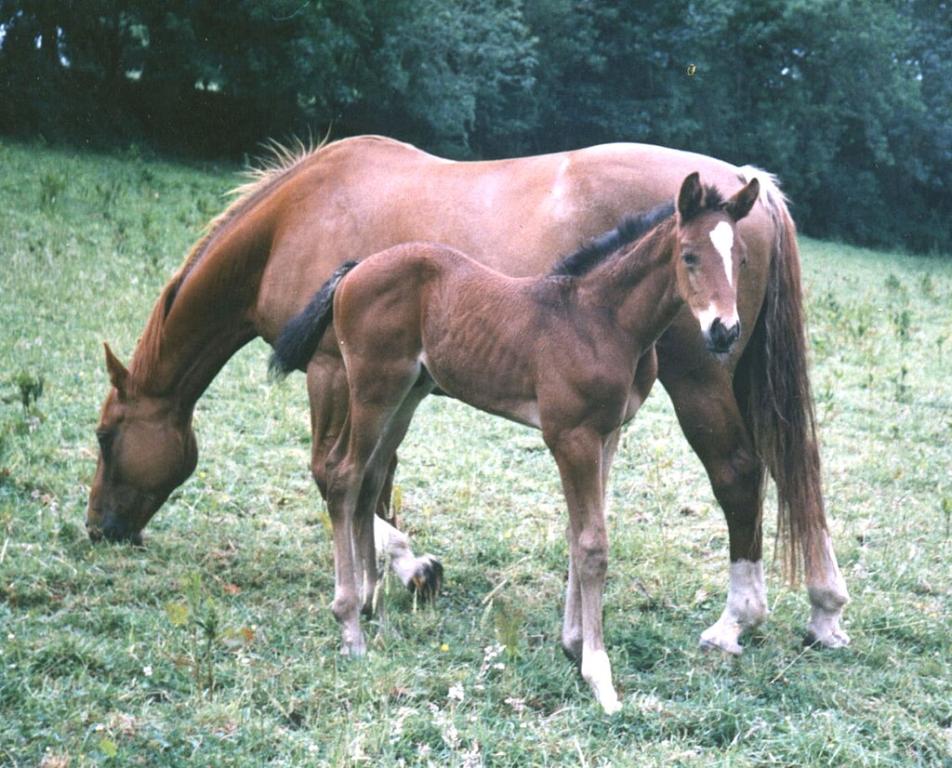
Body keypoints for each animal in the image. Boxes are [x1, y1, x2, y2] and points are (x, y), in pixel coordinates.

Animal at [87, 136, 850, 656]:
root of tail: (755, 190)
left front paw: (398, 573)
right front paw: (382, 581)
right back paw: (825, 609)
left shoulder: (332, 372)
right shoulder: (403, 382)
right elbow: (375, 475)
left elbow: (337, 473)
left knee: (740, 474)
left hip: (701, 381)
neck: (296, 216)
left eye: (104, 437)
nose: (99, 529)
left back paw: (735, 620)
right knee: (795, 470)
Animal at [269, 173, 759, 713]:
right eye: (689, 255)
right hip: (373, 388)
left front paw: (572, 644)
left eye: (740, 260)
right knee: (343, 475)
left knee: (369, 479)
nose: (724, 331)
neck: (602, 320)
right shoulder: (570, 436)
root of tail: (357, 269)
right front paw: (599, 676)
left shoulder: (608, 434)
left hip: (407, 394)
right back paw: (350, 625)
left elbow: (577, 533)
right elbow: (592, 544)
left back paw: (375, 606)